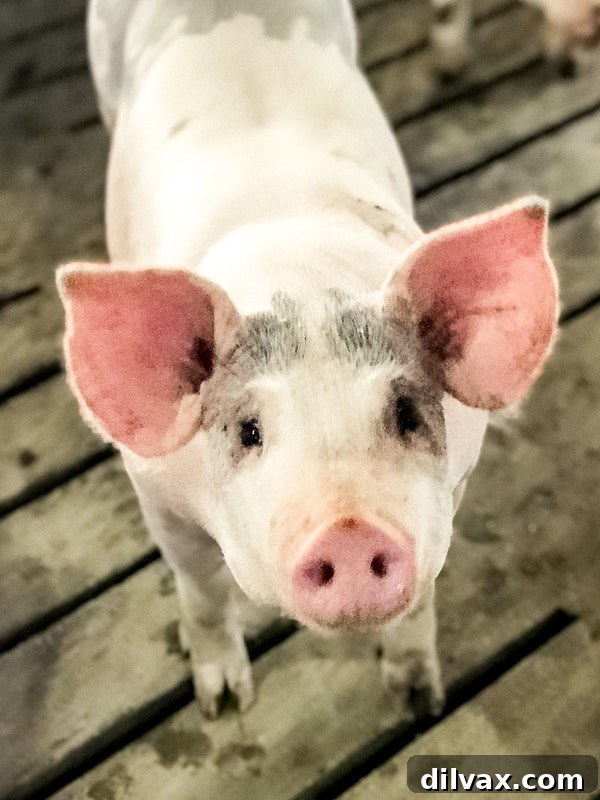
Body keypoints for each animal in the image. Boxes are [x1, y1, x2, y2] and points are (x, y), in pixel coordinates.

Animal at [57, 0, 559, 718]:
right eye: (248, 431)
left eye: (407, 414)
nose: (348, 530)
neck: (300, 279)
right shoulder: (156, 494)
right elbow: (202, 593)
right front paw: (224, 706)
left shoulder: (457, 479)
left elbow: (422, 599)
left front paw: (418, 699)